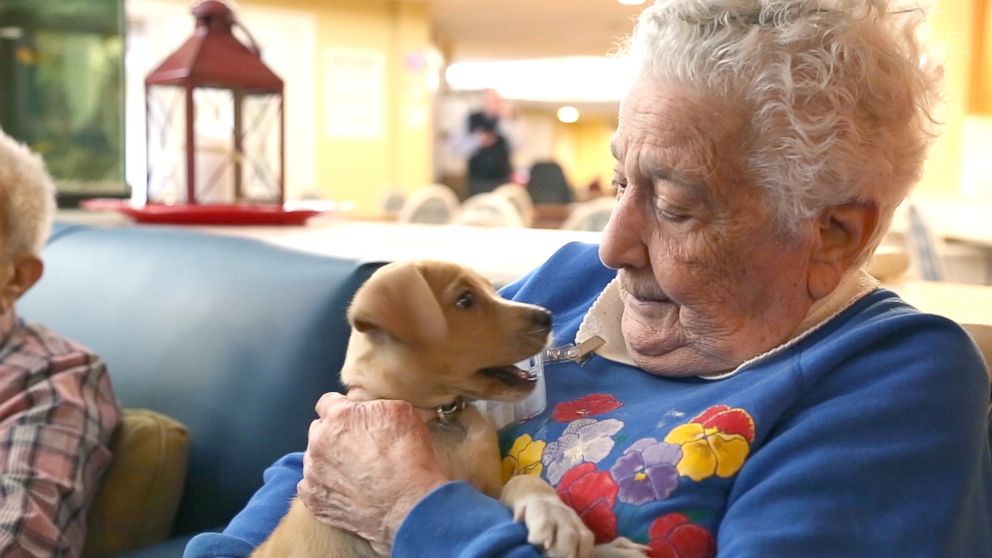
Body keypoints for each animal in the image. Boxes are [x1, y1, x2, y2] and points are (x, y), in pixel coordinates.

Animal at [252, 262, 600, 558]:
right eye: (465, 300)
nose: (547, 316)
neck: (442, 416)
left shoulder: (490, 487)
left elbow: (522, 481)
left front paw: (558, 517)